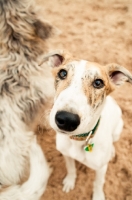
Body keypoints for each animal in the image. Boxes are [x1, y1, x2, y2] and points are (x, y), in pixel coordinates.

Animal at [44, 50, 131, 200]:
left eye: (98, 82)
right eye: (62, 73)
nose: (67, 119)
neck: (78, 140)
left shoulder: (101, 168)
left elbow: (98, 183)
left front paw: (98, 196)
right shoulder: (66, 155)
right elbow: (71, 169)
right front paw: (70, 181)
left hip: (118, 129)